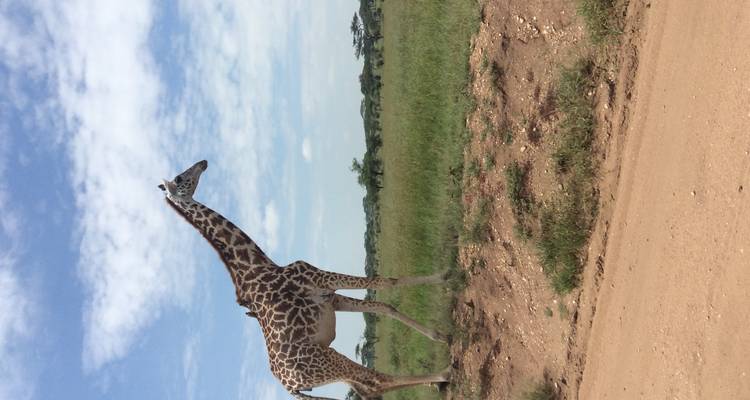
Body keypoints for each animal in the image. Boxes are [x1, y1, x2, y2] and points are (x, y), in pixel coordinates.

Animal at [159, 160, 452, 400]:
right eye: (181, 177)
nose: (203, 163)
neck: (258, 264)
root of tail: (289, 387)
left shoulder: (329, 298)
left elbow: (383, 306)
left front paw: (439, 335)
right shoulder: (321, 279)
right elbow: (384, 283)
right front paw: (445, 275)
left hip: (325, 367)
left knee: (364, 386)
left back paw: (436, 380)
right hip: (325, 359)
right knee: (374, 380)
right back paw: (445, 373)